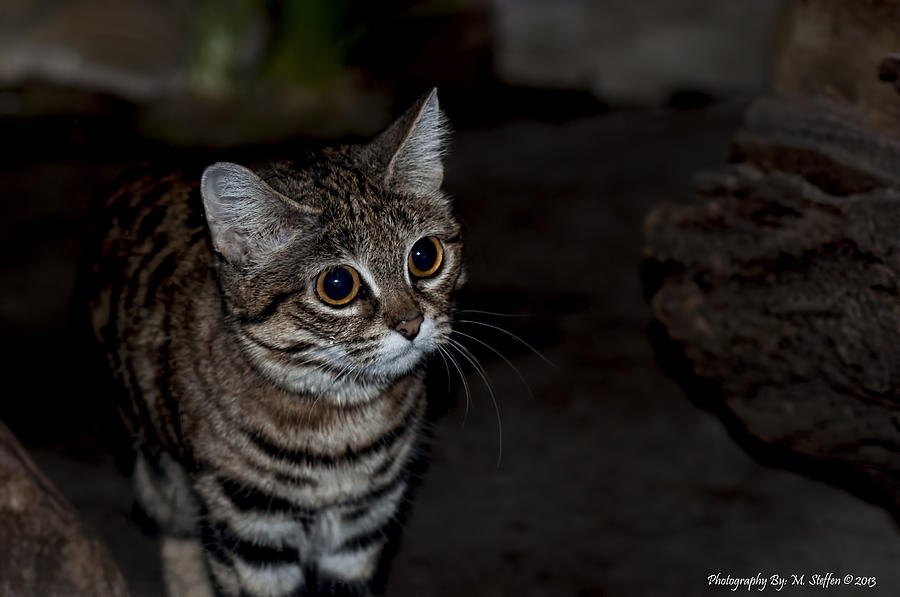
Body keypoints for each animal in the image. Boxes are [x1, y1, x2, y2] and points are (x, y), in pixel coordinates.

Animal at [89, 89, 464, 596]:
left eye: (425, 256)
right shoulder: (248, 529)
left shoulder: (362, 527)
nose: (411, 323)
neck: (342, 424)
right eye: (338, 284)